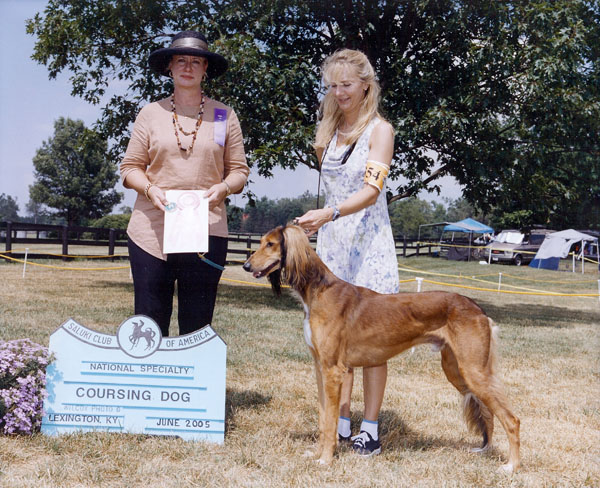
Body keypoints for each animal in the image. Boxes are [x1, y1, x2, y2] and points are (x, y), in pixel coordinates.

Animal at [241, 226, 516, 472]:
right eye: (261, 241)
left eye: (270, 244)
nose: (246, 266)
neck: (319, 290)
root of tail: (477, 309)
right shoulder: (320, 368)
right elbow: (322, 418)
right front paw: (318, 453)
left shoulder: (332, 371)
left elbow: (330, 422)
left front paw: (326, 459)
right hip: (456, 369)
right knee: (489, 413)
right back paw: (486, 449)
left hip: (473, 371)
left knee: (512, 419)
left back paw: (512, 466)